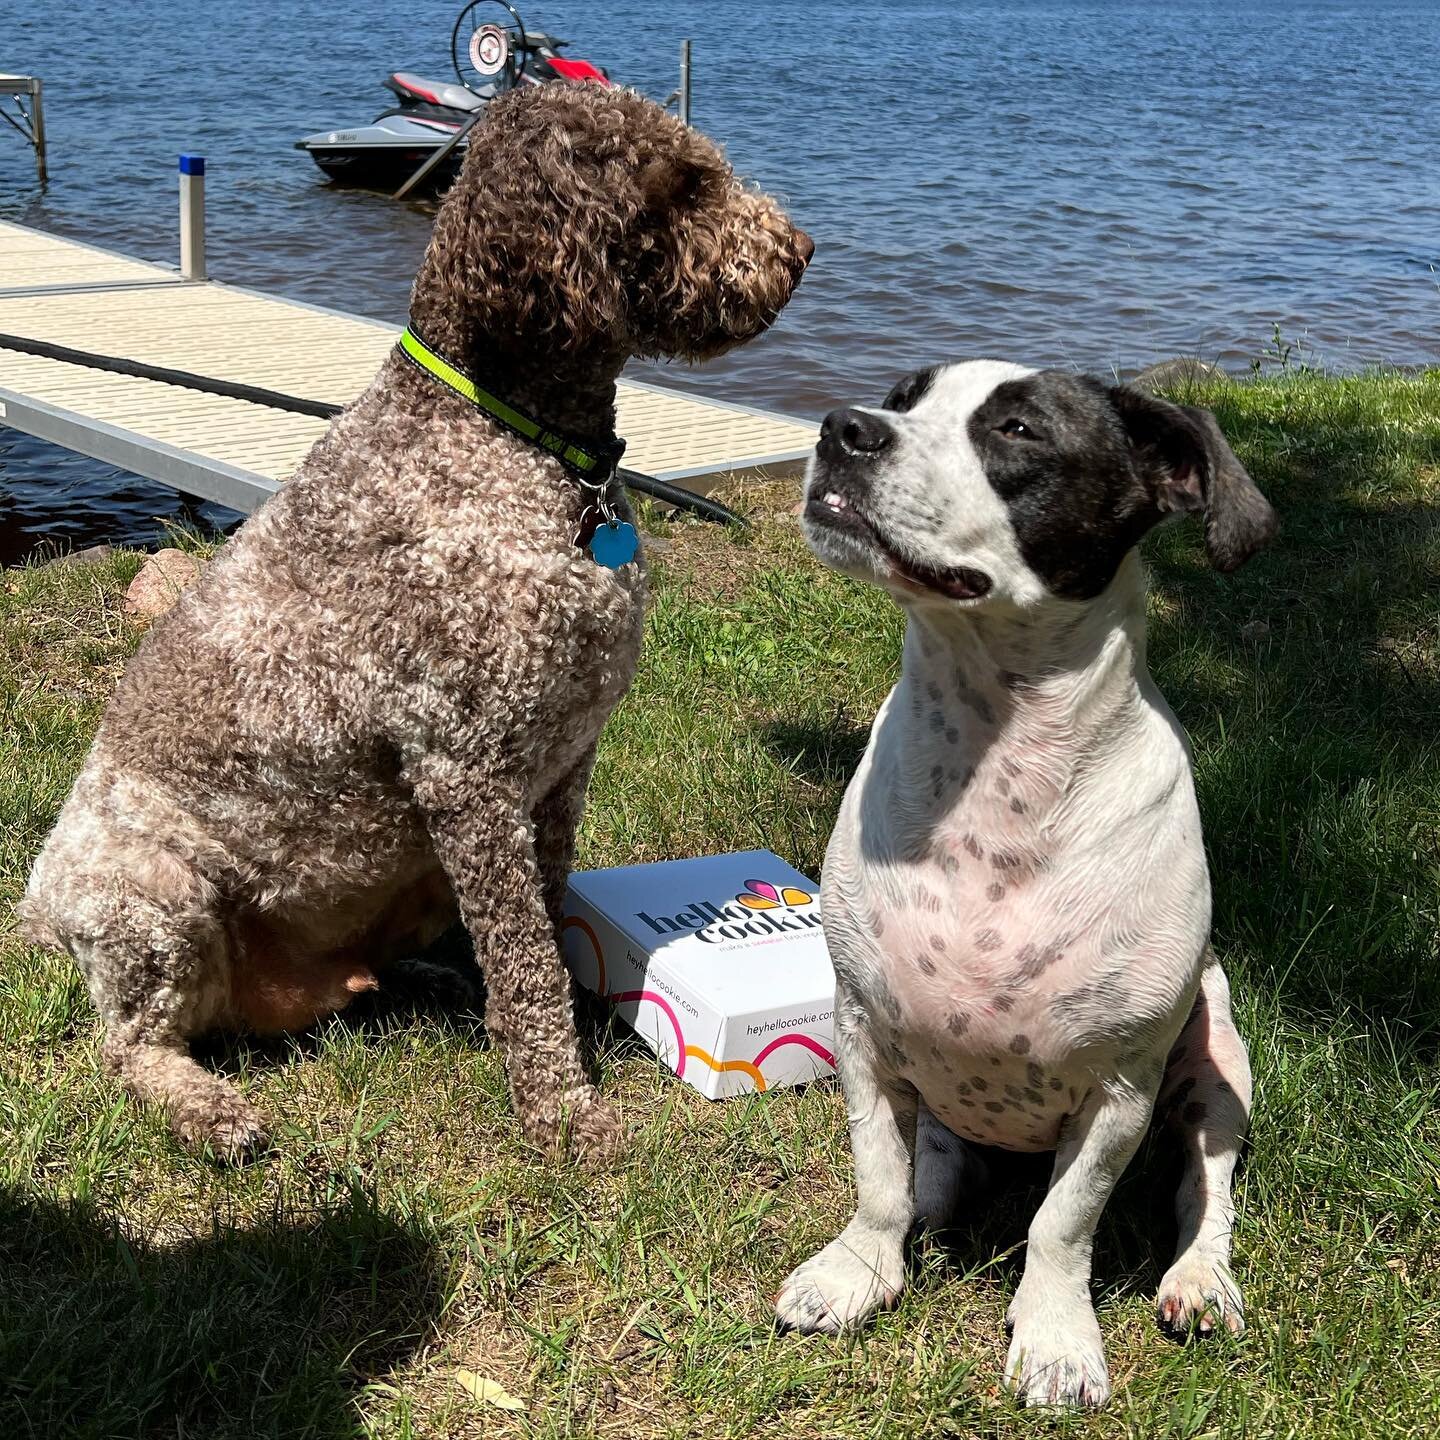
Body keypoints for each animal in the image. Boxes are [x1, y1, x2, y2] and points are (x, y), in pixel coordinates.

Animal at [19, 81, 812, 1157]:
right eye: (686, 184)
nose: (800, 248)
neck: (506, 440)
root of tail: (36, 906)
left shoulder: (562, 767)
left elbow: (541, 921)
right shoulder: (469, 775)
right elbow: (525, 958)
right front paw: (562, 1109)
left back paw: (432, 983)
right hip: (153, 895)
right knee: (128, 1046)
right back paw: (207, 1108)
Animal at [783, 362, 1278, 1405]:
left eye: (1017, 430)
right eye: (904, 395)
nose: (845, 427)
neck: (998, 778)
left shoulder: (1118, 1094)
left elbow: (1063, 1225)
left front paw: (1055, 1335)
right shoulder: (861, 1034)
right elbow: (877, 1179)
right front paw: (857, 1269)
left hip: (1218, 1073)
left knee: (1204, 1194)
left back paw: (1201, 1280)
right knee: (925, 1173)